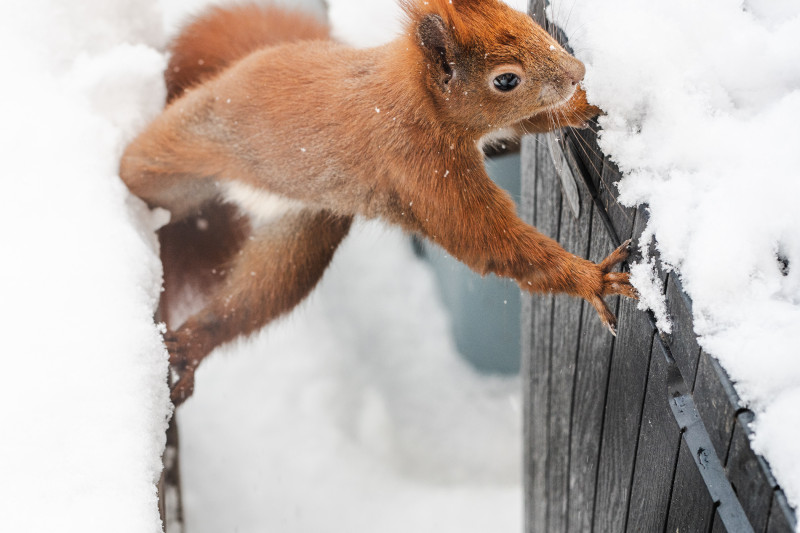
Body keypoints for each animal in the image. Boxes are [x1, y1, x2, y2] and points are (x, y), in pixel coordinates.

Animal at [120, 0, 632, 404]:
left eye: (523, 19)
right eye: (506, 80)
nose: (578, 73)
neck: (419, 103)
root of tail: (238, 67)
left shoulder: (494, 129)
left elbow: (534, 120)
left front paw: (596, 102)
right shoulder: (421, 168)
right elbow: (489, 241)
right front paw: (593, 279)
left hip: (305, 229)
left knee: (250, 299)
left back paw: (194, 344)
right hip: (183, 150)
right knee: (139, 167)